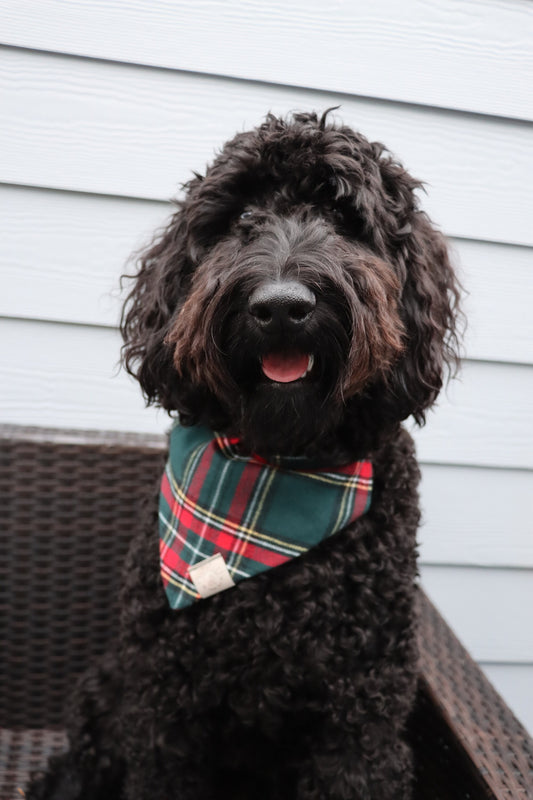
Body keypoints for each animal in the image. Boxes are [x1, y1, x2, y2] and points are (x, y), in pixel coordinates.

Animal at [29, 112, 460, 800]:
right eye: (241, 218)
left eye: (343, 218)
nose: (282, 306)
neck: (278, 464)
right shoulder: (164, 708)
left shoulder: (361, 710)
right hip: (105, 693)